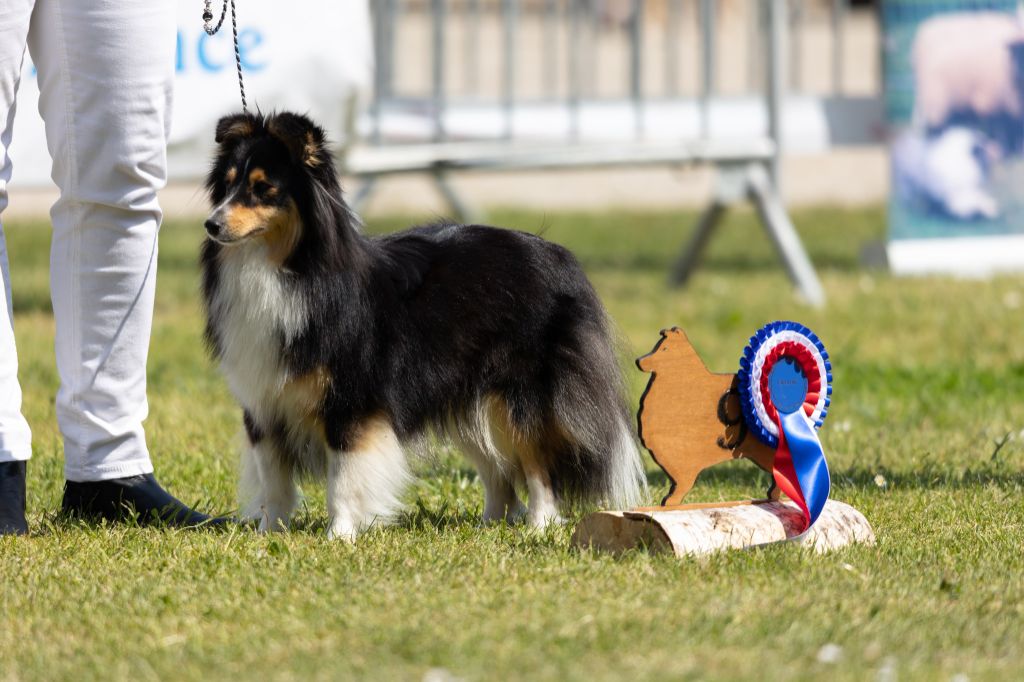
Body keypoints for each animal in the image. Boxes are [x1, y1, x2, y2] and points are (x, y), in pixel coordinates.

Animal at [201, 110, 647, 536]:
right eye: (227, 186)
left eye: (264, 189)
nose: (211, 224)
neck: (286, 268)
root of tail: (559, 256)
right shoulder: (263, 405)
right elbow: (273, 483)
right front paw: (266, 535)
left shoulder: (351, 403)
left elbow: (342, 481)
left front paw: (339, 535)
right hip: (471, 402)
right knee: (499, 473)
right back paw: (489, 526)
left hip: (522, 397)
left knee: (538, 466)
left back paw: (539, 527)